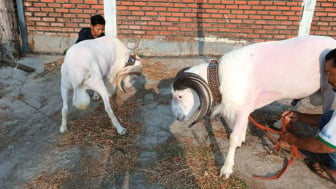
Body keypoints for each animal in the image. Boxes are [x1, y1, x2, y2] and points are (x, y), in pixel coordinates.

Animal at [171, 35, 336, 179]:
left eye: (180, 96)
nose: (178, 117)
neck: (219, 77)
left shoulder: (242, 108)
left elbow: (233, 138)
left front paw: (226, 169)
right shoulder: (245, 106)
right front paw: (242, 140)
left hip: (328, 90)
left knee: (325, 111)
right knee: (297, 101)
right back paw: (281, 122)